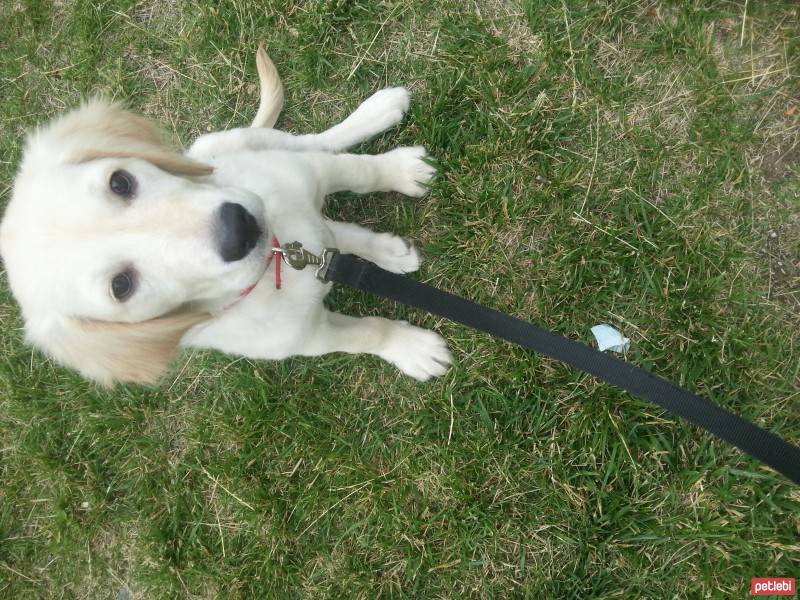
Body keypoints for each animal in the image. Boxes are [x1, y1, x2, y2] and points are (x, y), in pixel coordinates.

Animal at [0, 47, 450, 384]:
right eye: (121, 286)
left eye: (121, 182)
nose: (240, 227)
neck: (277, 260)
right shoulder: (309, 338)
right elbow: (367, 333)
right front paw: (413, 350)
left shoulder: (311, 172)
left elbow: (360, 172)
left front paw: (400, 170)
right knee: (336, 233)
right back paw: (388, 252)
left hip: (244, 143)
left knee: (314, 143)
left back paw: (379, 113)